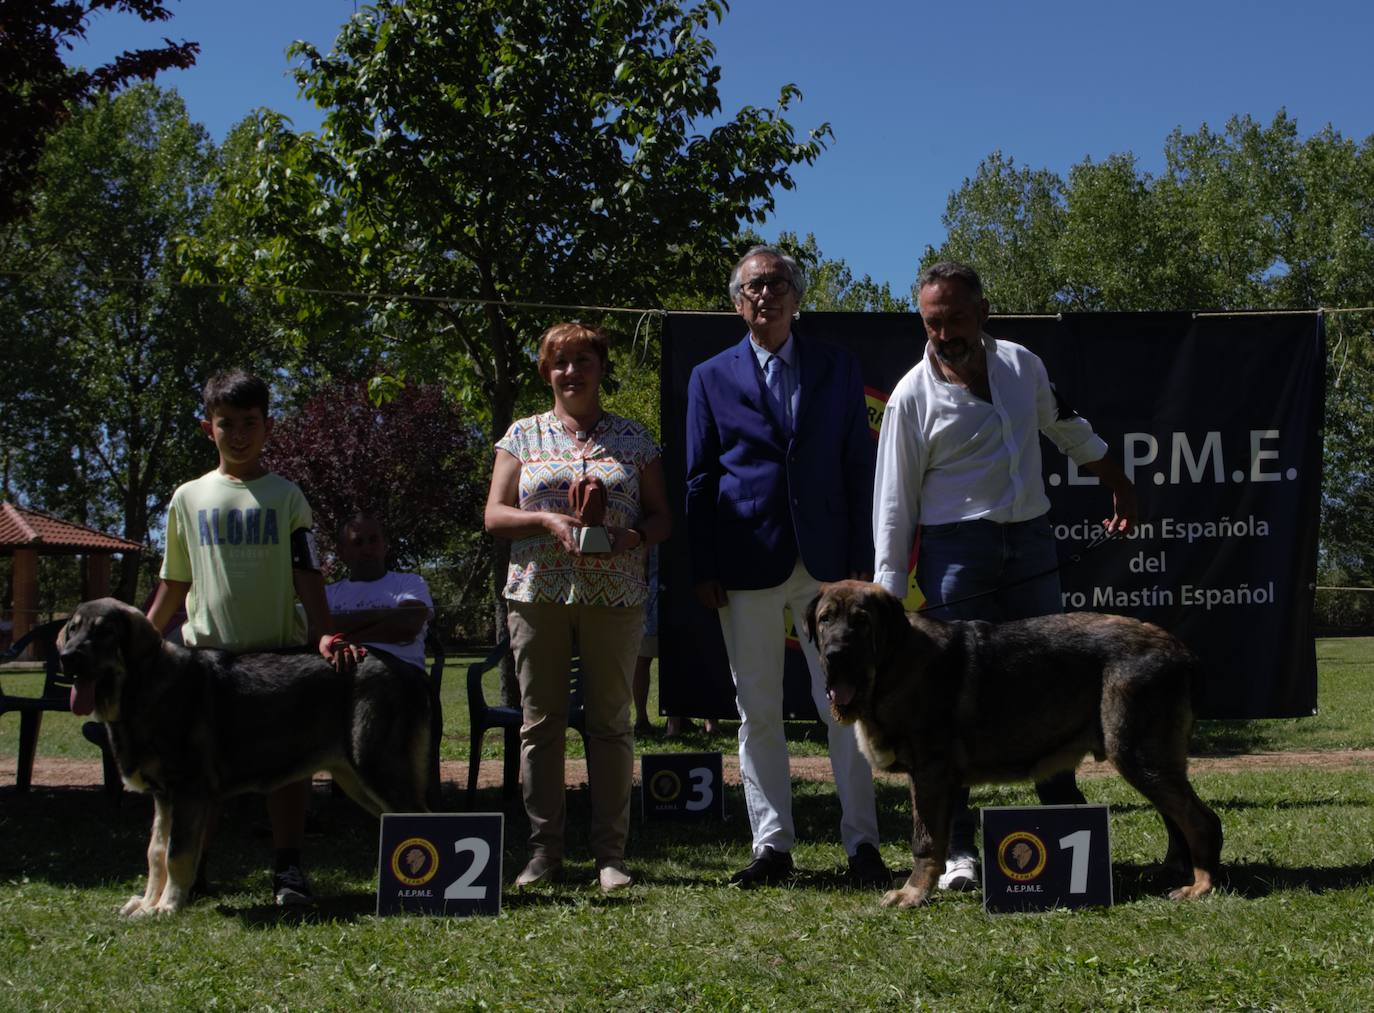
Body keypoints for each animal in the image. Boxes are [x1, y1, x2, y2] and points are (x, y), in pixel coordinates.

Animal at [59, 596, 428, 912]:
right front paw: (148, 904)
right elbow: (156, 852)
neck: (142, 687)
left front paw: (167, 907)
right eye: (73, 629)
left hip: (376, 767)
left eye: (104, 631)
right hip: (355, 779)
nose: (66, 657)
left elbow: (177, 854)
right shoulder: (163, 796)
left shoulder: (188, 790)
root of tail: (407, 671)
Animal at [802, 580, 1225, 907]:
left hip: (1138, 752)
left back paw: (1201, 885)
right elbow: (934, 838)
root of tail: (1182, 650)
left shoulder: (930, 773)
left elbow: (925, 841)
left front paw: (912, 894)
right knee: (1177, 817)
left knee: (1202, 819)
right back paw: (1174, 870)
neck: (892, 661)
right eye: (826, 620)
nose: (835, 655)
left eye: (862, 622)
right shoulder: (928, 779)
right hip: (1150, 757)